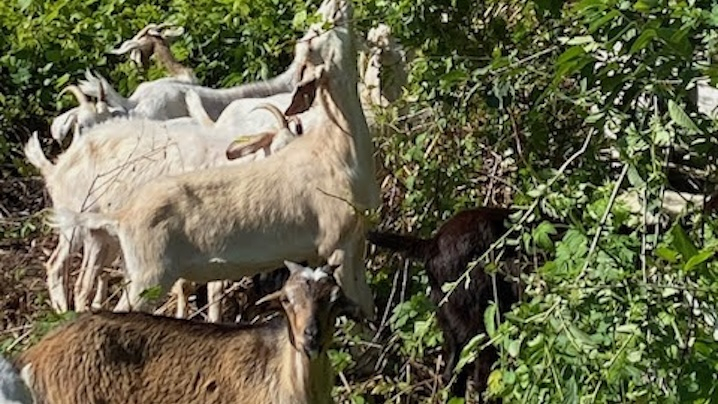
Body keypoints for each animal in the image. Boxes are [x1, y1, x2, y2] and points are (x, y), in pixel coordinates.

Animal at [50, 0, 379, 319]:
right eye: (318, 32)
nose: (338, 3)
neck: (335, 149)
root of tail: (122, 216)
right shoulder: (335, 245)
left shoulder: (354, 243)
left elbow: (366, 307)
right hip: (147, 275)